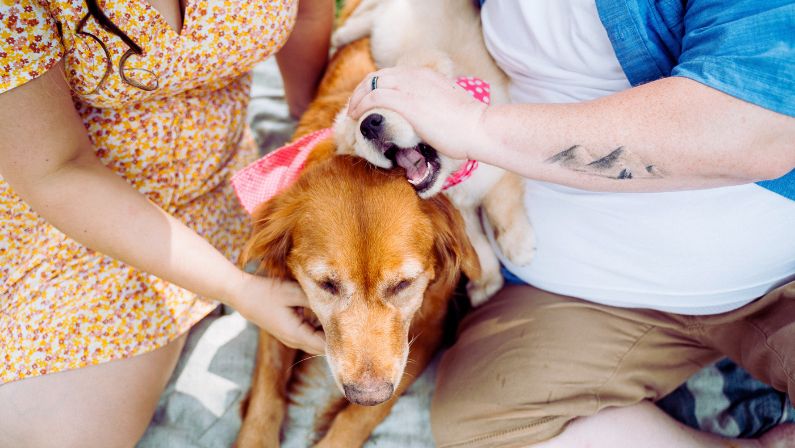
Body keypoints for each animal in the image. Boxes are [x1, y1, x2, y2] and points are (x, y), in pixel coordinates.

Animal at [233, 36, 482, 448]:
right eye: (326, 285)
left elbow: (359, 416)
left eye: (404, 284)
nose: (367, 393)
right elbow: (268, 388)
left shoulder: (429, 330)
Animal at [332, 0, 536, 306]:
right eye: (356, 132)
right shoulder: (458, 214)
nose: (369, 124)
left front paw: (518, 245)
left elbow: (503, 207)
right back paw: (341, 35)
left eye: (391, 102)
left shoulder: (499, 170)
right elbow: (477, 245)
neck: (454, 176)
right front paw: (486, 282)